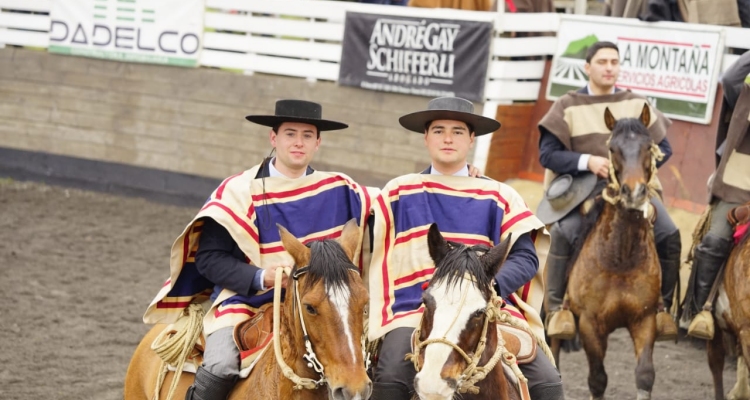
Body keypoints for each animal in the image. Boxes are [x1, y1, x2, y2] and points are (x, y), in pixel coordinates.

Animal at [560, 104, 664, 400]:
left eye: (648, 146)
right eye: (613, 148)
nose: (634, 191)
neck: (620, 259)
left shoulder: (644, 319)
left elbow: (645, 374)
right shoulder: (590, 324)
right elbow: (598, 379)